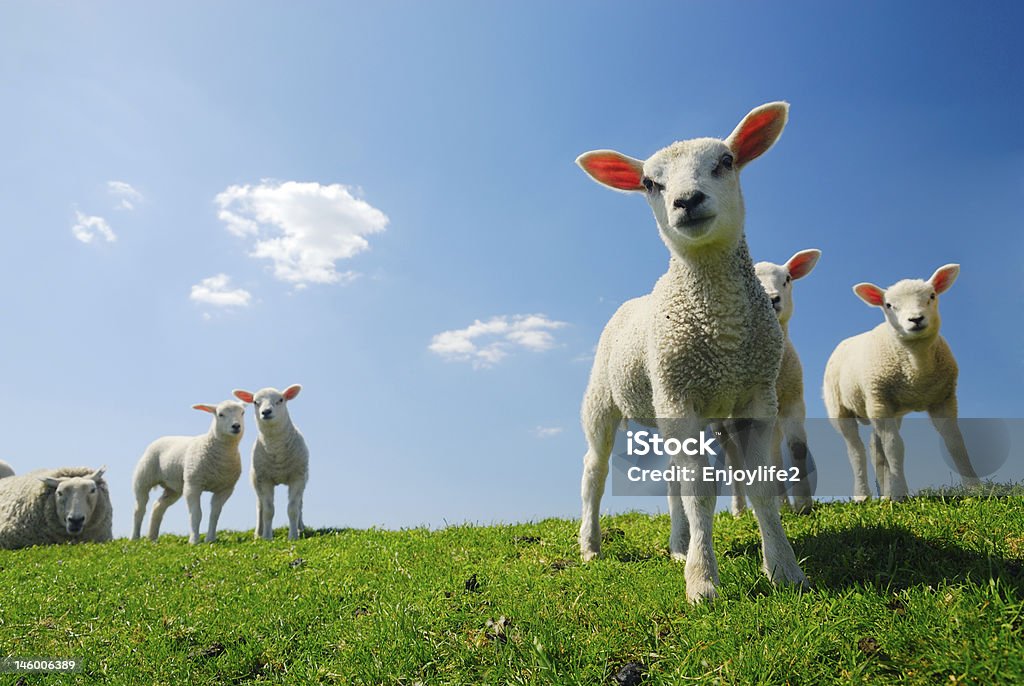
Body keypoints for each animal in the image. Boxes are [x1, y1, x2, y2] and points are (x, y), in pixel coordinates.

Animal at [132, 401, 245, 544]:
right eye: (220, 414)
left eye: (242, 413)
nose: (236, 426)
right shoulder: (193, 485)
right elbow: (196, 514)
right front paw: (194, 540)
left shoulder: (225, 489)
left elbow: (215, 514)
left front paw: (210, 539)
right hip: (143, 478)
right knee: (139, 509)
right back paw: (135, 538)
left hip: (173, 488)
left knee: (158, 506)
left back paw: (152, 538)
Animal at [233, 387, 307, 544]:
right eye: (255, 402)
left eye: (280, 400)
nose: (266, 412)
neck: (277, 451)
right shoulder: (264, 479)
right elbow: (268, 510)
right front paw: (267, 537)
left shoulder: (297, 478)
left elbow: (293, 508)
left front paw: (293, 536)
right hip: (256, 480)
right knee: (259, 506)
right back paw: (258, 533)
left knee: (300, 504)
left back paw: (301, 528)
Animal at [577, 100, 806, 602]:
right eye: (649, 183)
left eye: (726, 161)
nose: (687, 200)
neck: (722, 330)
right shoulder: (681, 397)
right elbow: (700, 490)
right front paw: (702, 582)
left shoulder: (757, 396)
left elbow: (759, 486)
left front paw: (783, 569)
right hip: (606, 400)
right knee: (594, 473)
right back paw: (590, 546)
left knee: (670, 481)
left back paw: (678, 545)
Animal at [724, 250, 819, 516]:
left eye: (787, 279)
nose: (772, 299)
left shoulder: (793, 400)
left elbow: (796, 448)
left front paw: (803, 504)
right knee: (733, 458)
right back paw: (739, 510)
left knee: (772, 451)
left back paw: (783, 504)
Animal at [819, 266, 978, 501]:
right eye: (889, 305)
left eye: (932, 296)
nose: (916, 319)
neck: (916, 370)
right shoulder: (880, 400)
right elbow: (895, 447)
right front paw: (901, 493)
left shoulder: (944, 399)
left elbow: (955, 442)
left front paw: (976, 488)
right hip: (842, 407)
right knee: (856, 450)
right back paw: (862, 495)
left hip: (885, 407)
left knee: (875, 448)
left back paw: (885, 494)